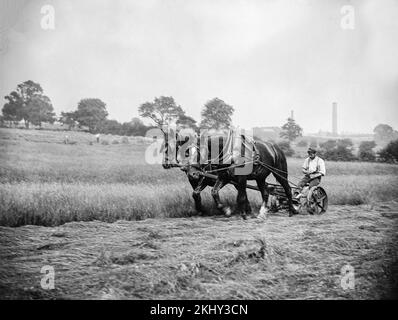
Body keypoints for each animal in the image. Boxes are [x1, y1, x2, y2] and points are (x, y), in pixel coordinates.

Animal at [162, 131, 298, 219]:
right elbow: (210, 193)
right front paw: (224, 210)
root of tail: (275, 148)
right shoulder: (223, 177)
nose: (192, 173)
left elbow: (241, 197)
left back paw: (292, 210)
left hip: (280, 172)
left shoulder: (239, 178)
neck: (230, 153)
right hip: (260, 177)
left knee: (287, 189)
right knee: (265, 192)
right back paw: (262, 213)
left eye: (199, 153)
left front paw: (243, 214)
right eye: (187, 152)